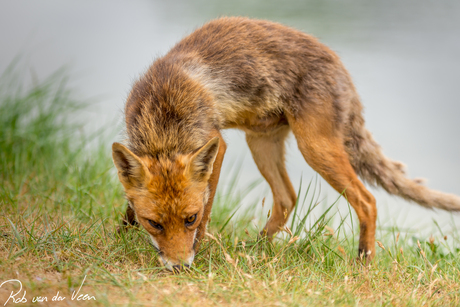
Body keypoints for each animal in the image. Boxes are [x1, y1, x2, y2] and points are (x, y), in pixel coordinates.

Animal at [111, 16, 460, 272]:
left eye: (190, 219)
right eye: (154, 223)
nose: (180, 266)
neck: (164, 118)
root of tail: (341, 67)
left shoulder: (216, 145)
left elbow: (208, 207)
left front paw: (198, 248)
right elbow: (129, 204)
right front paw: (120, 236)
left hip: (314, 148)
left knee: (367, 200)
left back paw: (363, 261)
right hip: (261, 143)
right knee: (287, 197)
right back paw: (258, 249)